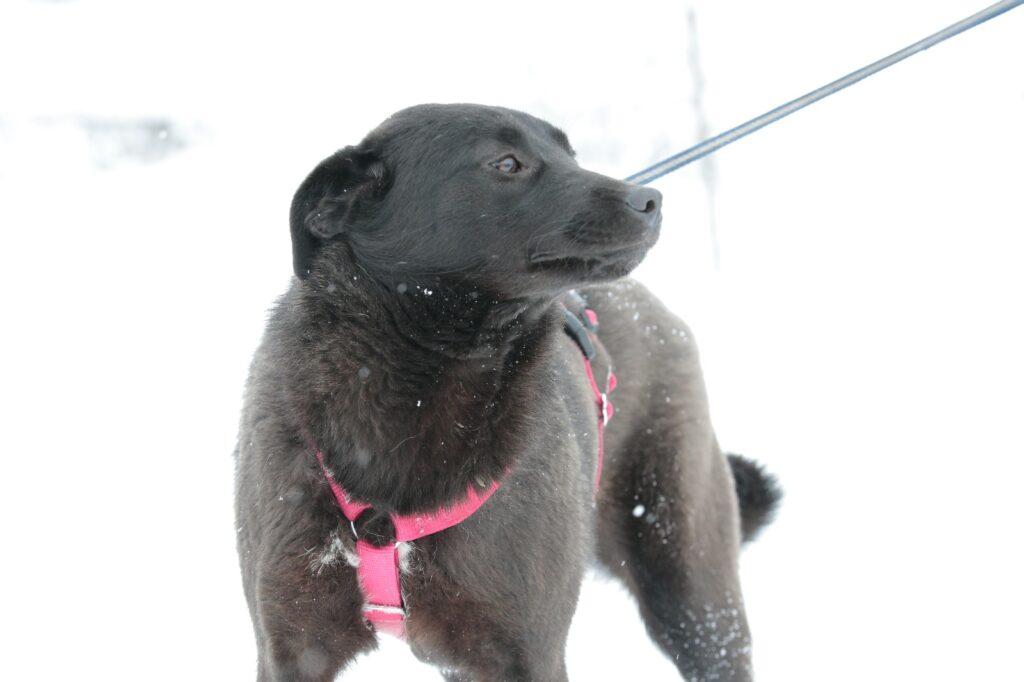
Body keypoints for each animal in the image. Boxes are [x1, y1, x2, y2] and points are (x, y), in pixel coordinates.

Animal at [235, 103, 780, 681]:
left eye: (570, 154)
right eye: (507, 163)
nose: (650, 199)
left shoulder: (528, 652)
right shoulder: (293, 649)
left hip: (695, 597)